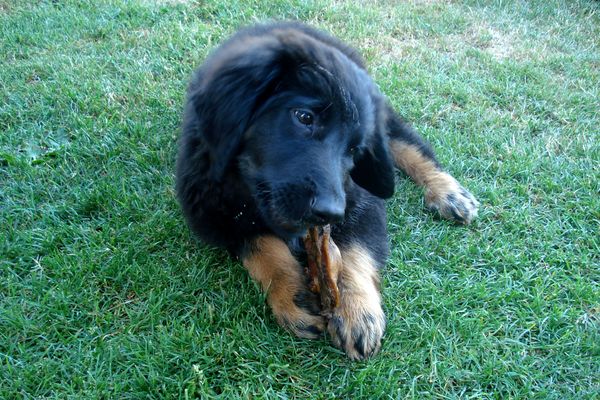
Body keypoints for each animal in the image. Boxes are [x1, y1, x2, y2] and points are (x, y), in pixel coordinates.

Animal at [176, 21, 480, 360]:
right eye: (304, 117)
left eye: (354, 149)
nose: (331, 212)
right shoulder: (213, 213)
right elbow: (262, 247)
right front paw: (294, 296)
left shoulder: (361, 200)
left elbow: (354, 250)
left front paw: (356, 311)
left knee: (409, 145)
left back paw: (448, 193)